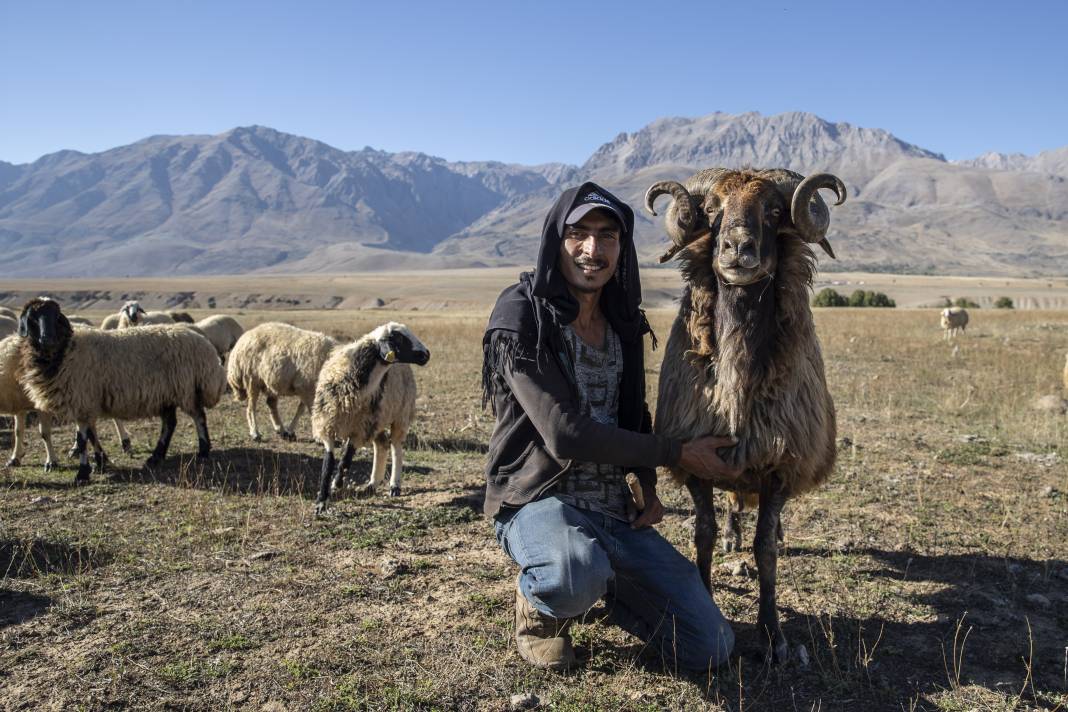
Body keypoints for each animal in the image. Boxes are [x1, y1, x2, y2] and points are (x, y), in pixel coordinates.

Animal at [15, 294, 228, 484]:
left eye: (55, 315)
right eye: (33, 317)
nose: (47, 338)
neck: (65, 350)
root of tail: (203, 344)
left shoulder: (82, 398)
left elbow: (83, 439)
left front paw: (83, 473)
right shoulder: (87, 401)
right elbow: (91, 434)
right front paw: (101, 461)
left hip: (185, 388)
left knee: (198, 416)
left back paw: (202, 451)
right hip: (167, 392)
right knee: (170, 423)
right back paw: (156, 457)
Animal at [311, 322, 427, 512]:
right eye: (400, 338)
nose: (427, 354)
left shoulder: (358, 430)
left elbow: (345, 460)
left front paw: (336, 485)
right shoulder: (328, 425)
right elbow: (328, 463)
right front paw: (322, 501)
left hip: (399, 416)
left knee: (396, 447)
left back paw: (394, 485)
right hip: (377, 420)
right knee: (382, 445)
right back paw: (372, 484)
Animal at [645, 167, 845, 661]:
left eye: (774, 210)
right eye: (713, 211)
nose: (737, 247)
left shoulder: (780, 466)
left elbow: (765, 551)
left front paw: (773, 637)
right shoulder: (696, 463)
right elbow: (703, 535)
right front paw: (706, 593)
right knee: (734, 503)